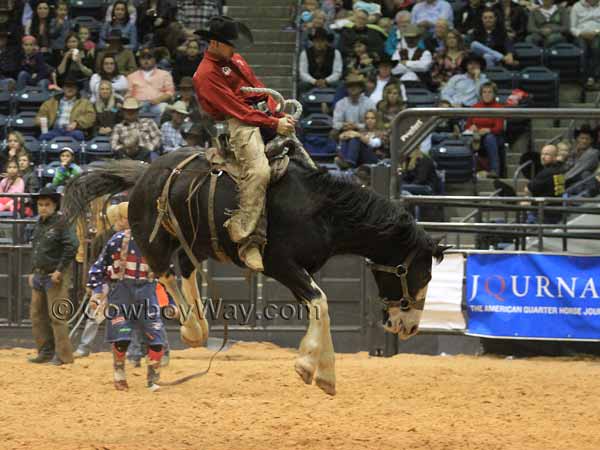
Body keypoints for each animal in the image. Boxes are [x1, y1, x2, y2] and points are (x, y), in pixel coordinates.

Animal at [59, 103, 446, 398]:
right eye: (422, 273)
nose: (410, 327)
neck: (320, 208)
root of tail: (144, 172)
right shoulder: (280, 264)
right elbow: (320, 302)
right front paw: (309, 366)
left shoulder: (301, 270)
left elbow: (319, 305)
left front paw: (324, 375)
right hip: (152, 238)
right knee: (165, 272)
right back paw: (192, 330)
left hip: (197, 242)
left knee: (184, 267)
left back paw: (199, 328)